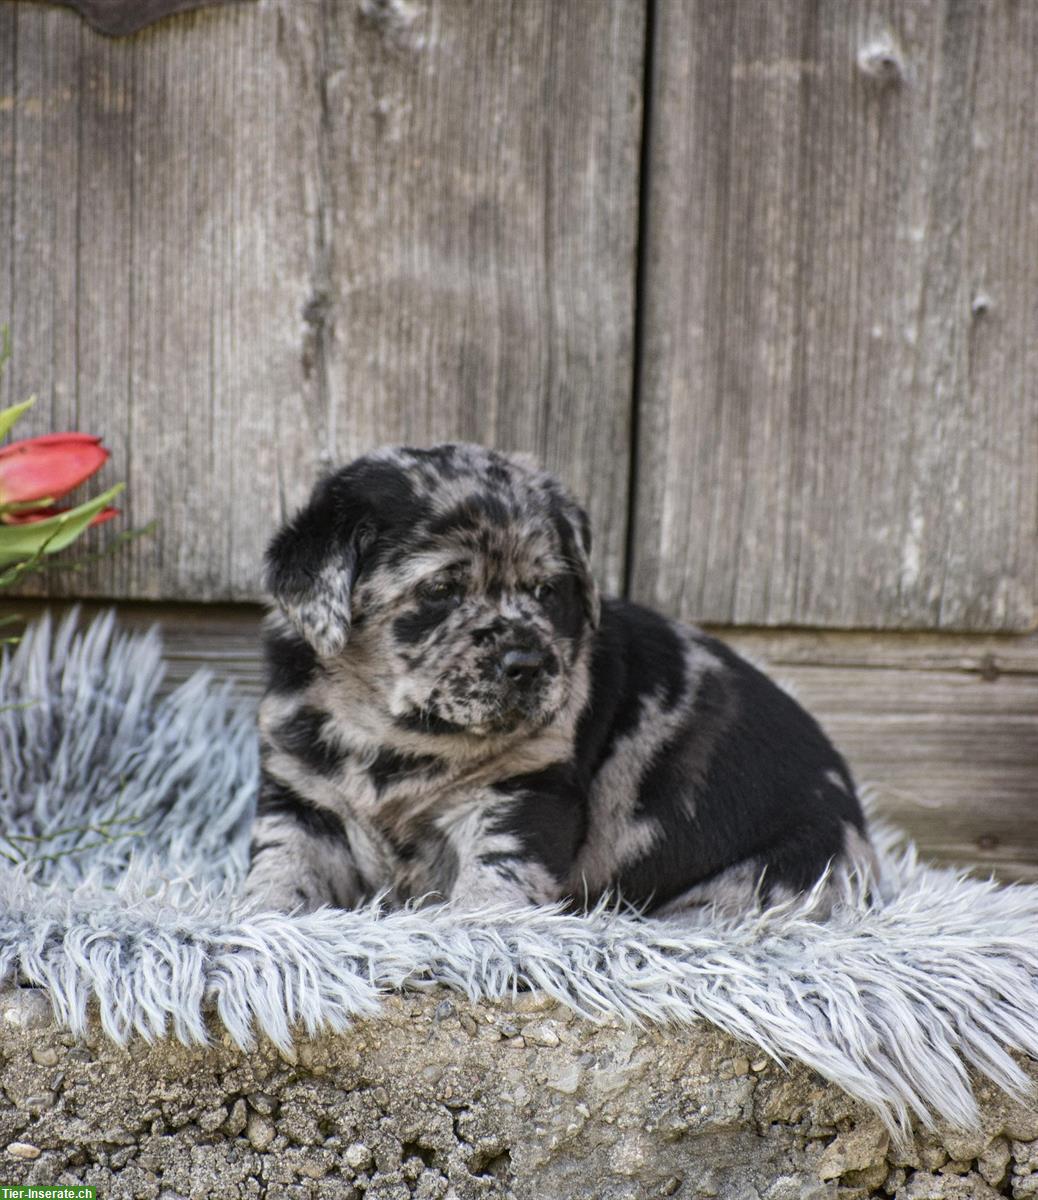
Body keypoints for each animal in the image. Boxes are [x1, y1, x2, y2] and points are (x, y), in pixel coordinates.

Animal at [244, 446, 873, 912]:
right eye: (441, 590)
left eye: (547, 591)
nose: (528, 664)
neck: (394, 736)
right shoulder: (300, 798)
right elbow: (278, 871)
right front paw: (254, 926)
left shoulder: (523, 793)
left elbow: (492, 887)